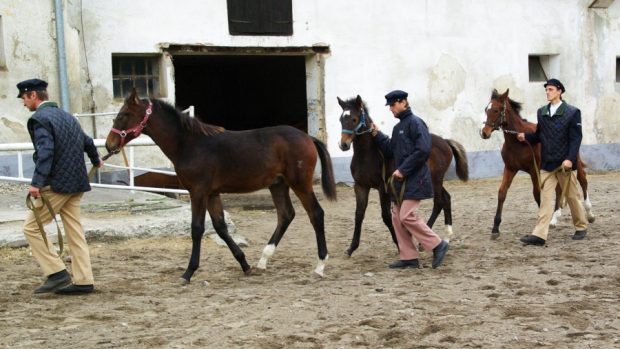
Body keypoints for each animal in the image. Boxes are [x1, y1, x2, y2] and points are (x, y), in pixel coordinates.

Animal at [108, 88, 340, 282]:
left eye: (124, 115)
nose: (110, 144)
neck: (190, 144)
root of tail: (308, 137)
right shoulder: (212, 194)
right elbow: (220, 227)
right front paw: (244, 264)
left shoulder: (198, 192)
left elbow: (197, 229)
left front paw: (188, 272)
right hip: (278, 184)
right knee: (286, 215)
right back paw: (263, 261)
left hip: (300, 183)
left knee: (316, 214)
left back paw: (320, 265)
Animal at [336, 95, 468, 256]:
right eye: (341, 119)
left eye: (354, 119)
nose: (343, 145)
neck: (368, 154)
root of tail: (445, 141)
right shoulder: (360, 186)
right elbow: (358, 214)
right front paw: (351, 248)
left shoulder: (383, 187)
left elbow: (386, 216)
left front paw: (399, 245)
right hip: (432, 180)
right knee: (446, 198)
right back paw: (446, 237)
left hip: (436, 180)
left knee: (439, 202)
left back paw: (426, 242)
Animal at [480, 88, 596, 238]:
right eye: (486, 109)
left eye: (496, 110)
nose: (484, 133)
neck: (519, 142)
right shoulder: (510, 168)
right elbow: (502, 192)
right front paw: (495, 228)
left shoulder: (533, 171)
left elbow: (537, 194)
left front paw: (541, 221)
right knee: (559, 189)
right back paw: (554, 219)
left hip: (572, 162)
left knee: (583, 180)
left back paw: (589, 214)